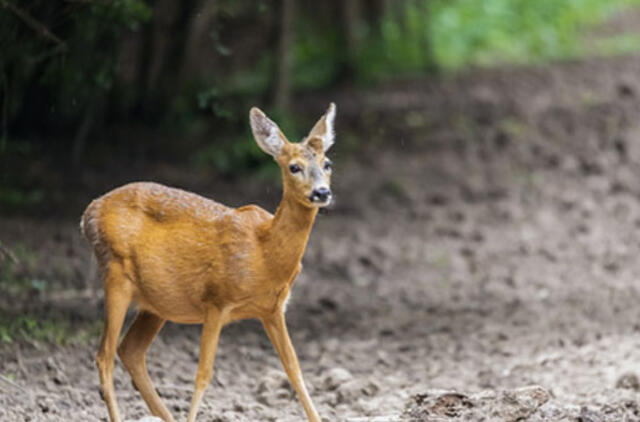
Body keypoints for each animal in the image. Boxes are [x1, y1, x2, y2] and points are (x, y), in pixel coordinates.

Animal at [81, 103, 336, 422]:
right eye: (294, 167)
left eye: (328, 163)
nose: (321, 193)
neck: (264, 253)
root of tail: (88, 212)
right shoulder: (216, 300)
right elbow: (203, 375)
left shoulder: (273, 309)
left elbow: (294, 370)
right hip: (116, 274)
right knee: (104, 356)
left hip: (157, 302)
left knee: (130, 350)